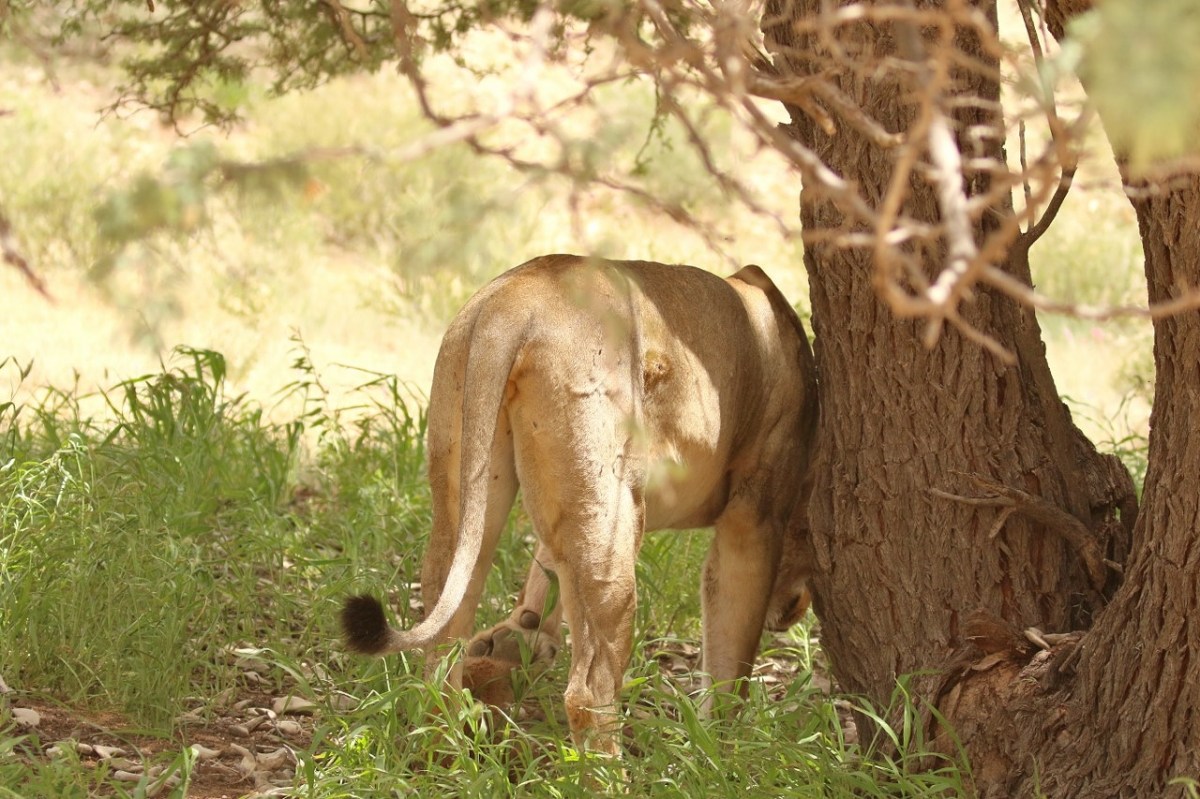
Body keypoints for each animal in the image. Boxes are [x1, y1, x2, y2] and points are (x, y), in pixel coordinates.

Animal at [342, 254, 818, 756]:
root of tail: (518, 295)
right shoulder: (755, 514)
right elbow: (733, 656)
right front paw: (722, 753)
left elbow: (544, 567)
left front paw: (522, 637)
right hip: (613, 518)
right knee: (589, 690)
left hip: (480, 483)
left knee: (443, 627)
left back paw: (446, 749)